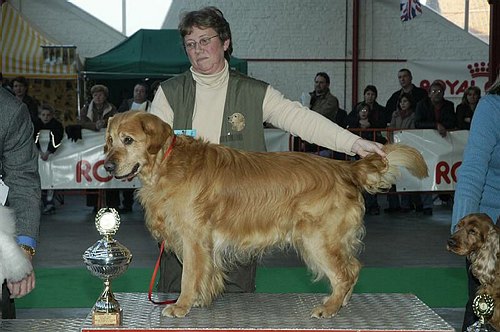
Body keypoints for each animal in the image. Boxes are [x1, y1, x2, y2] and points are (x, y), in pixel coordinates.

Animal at [103, 111, 428, 320]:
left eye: (128, 140)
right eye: (109, 141)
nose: (106, 166)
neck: (167, 163)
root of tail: (344, 167)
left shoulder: (194, 236)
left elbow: (189, 275)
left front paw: (181, 305)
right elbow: (203, 274)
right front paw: (199, 301)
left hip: (317, 238)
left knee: (346, 272)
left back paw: (329, 307)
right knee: (353, 268)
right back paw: (340, 302)